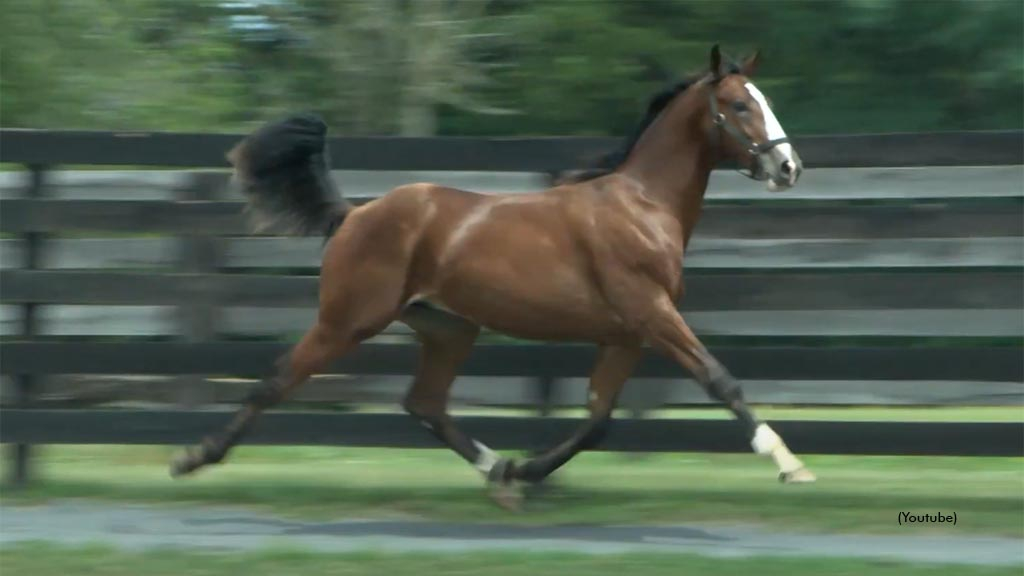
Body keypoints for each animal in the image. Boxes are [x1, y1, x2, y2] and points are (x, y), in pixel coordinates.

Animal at [174, 45, 815, 506]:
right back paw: (193, 458)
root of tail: (354, 214)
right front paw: (790, 464)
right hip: (347, 320)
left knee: (425, 403)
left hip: (449, 328)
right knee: (277, 380)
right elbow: (719, 380)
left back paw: (498, 470)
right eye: (738, 104)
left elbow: (598, 421)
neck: (641, 206)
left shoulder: (626, 334)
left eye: (761, 98)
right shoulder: (652, 314)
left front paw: (529, 471)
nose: (788, 166)